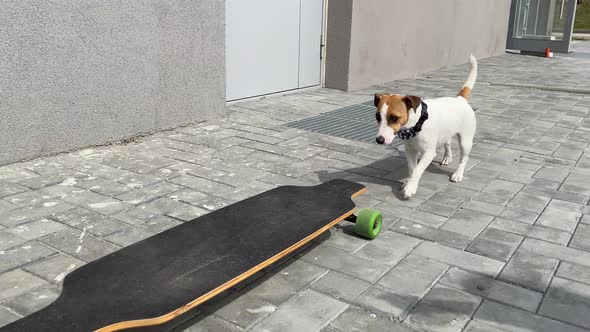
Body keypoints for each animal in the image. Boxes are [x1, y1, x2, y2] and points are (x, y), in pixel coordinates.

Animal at [374, 55, 480, 198]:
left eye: (394, 118)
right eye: (377, 117)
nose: (379, 140)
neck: (418, 124)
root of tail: (460, 99)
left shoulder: (429, 153)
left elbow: (418, 170)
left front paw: (410, 187)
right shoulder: (410, 151)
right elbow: (412, 169)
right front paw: (409, 182)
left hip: (465, 140)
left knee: (464, 158)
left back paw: (458, 174)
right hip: (446, 132)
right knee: (447, 143)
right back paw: (447, 157)